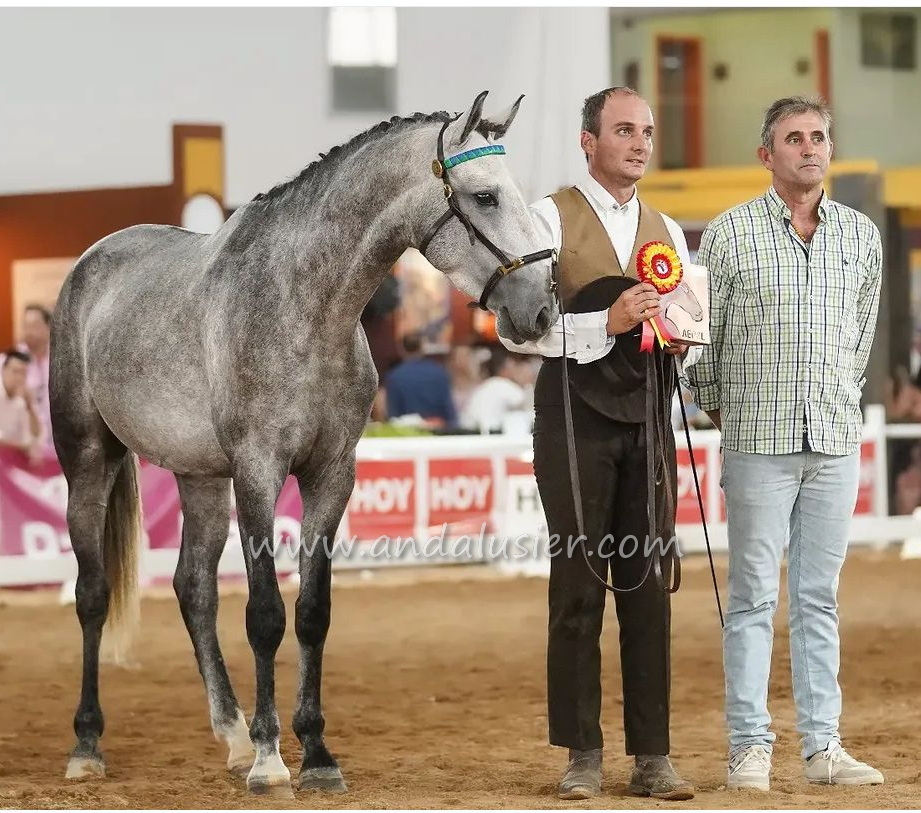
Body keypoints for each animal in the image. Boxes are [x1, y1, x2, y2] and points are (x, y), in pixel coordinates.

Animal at [50, 90, 558, 796]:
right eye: (484, 196)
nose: (541, 309)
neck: (305, 308)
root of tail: (91, 263)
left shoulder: (331, 473)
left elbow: (313, 610)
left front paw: (315, 752)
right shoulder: (259, 471)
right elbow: (266, 614)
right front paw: (271, 761)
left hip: (200, 477)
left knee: (193, 589)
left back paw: (233, 734)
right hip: (89, 460)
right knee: (93, 594)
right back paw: (89, 743)